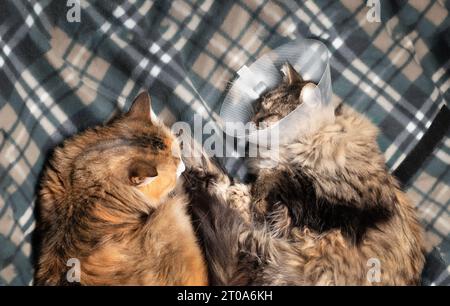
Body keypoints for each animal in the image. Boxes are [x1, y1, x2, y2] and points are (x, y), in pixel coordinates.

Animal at [186, 63, 426, 286]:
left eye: (270, 115)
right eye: (258, 106)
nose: (252, 122)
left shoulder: (319, 204)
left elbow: (274, 181)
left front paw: (252, 195)